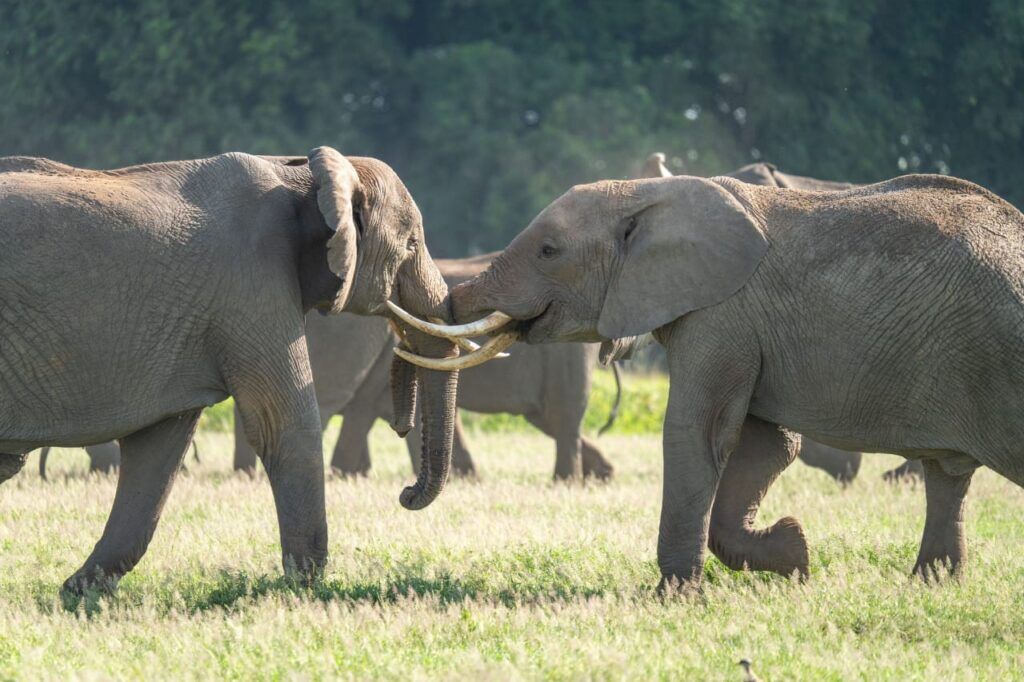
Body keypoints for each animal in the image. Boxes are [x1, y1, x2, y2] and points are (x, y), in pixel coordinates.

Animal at [0, 146, 458, 593]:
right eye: (412, 244)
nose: (406, 494)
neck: (299, 171)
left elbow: (159, 451)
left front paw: (80, 592)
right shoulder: (253, 282)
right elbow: (285, 422)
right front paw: (305, 588)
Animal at [395, 168, 1024, 585]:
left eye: (549, 250)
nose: (404, 495)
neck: (649, 195)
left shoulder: (724, 314)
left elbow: (695, 433)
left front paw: (674, 595)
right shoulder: (742, 327)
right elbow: (767, 443)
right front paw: (795, 555)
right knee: (947, 475)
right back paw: (933, 584)